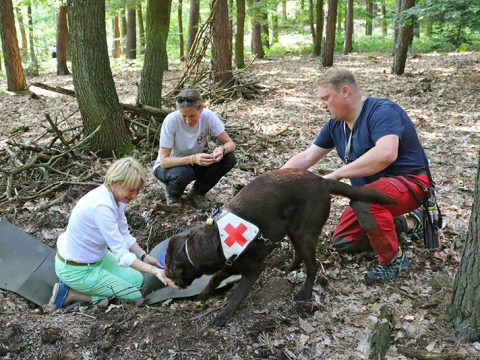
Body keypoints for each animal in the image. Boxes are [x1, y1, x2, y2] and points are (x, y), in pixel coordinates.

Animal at [163, 169, 396, 326]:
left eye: (169, 266)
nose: (165, 277)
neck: (215, 239)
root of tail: (321, 180)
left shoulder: (253, 269)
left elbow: (237, 295)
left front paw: (222, 315)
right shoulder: (230, 262)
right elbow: (216, 276)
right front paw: (205, 294)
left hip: (304, 233)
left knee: (312, 266)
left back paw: (305, 293)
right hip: (293, 230)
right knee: (298, 254)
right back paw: (289, 268)